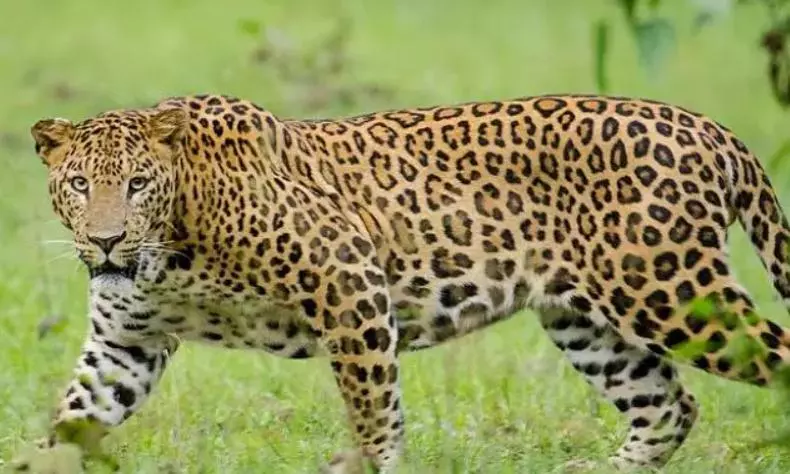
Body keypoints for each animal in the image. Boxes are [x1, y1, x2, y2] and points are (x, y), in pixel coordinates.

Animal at [14, 92, 790, 473]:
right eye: (79, 186)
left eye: (137, 184)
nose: (106, 240)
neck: (171, 248)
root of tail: (708, 127)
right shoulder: (126, 345)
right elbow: (72, 419)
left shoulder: (349, 282)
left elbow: (372, 407)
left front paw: (370, 464)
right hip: (587, 319)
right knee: (669, 407)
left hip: (670, 293)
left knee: (769, 359)